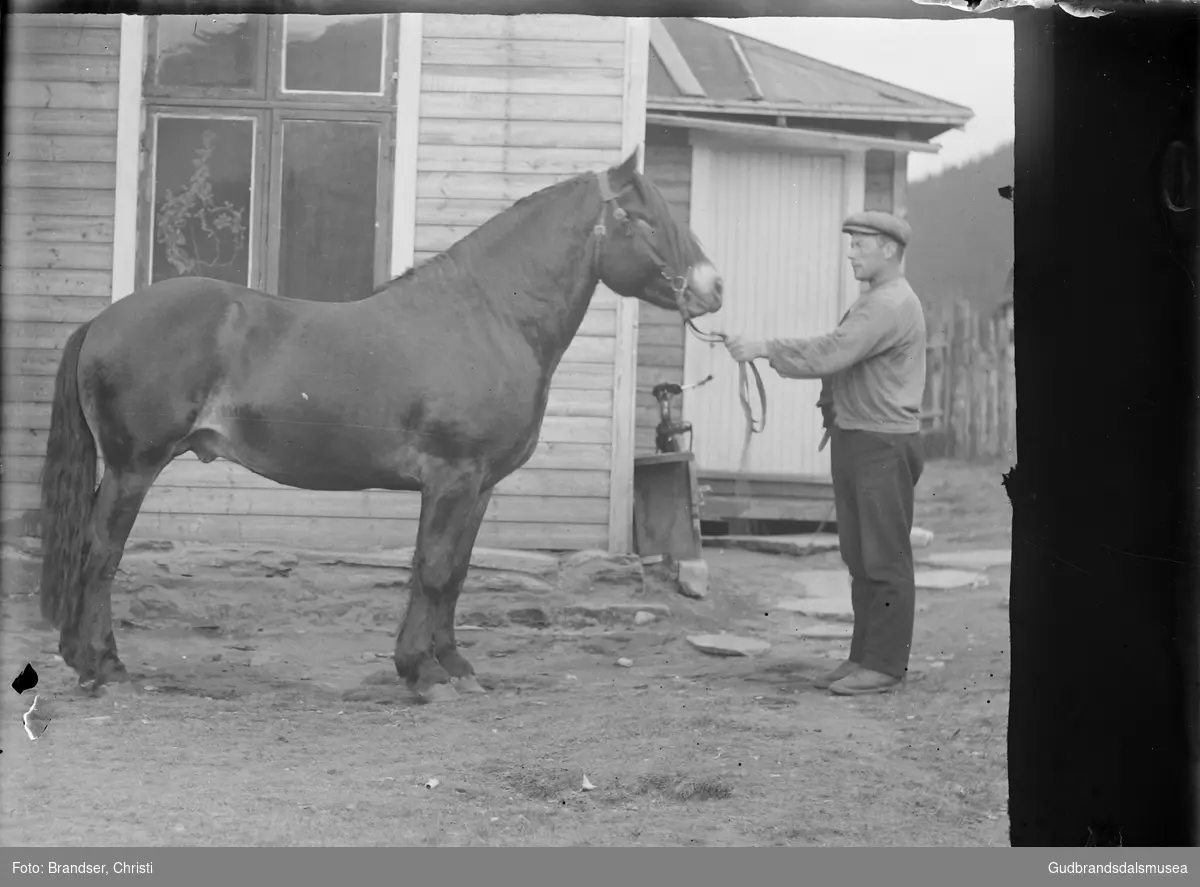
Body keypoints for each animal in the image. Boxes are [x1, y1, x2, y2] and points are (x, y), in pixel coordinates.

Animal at [37, 154, 720, 705]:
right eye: (646, 218)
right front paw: (423, 673)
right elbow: (434, 569)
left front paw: (454, 667)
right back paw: (103, 668)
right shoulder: (451, 477)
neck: (488, 319)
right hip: (133, 467)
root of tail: (103, 320)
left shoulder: (480, 486)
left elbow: (456, 573)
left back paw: (87, 659)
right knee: (100, 553)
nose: (713, 287)